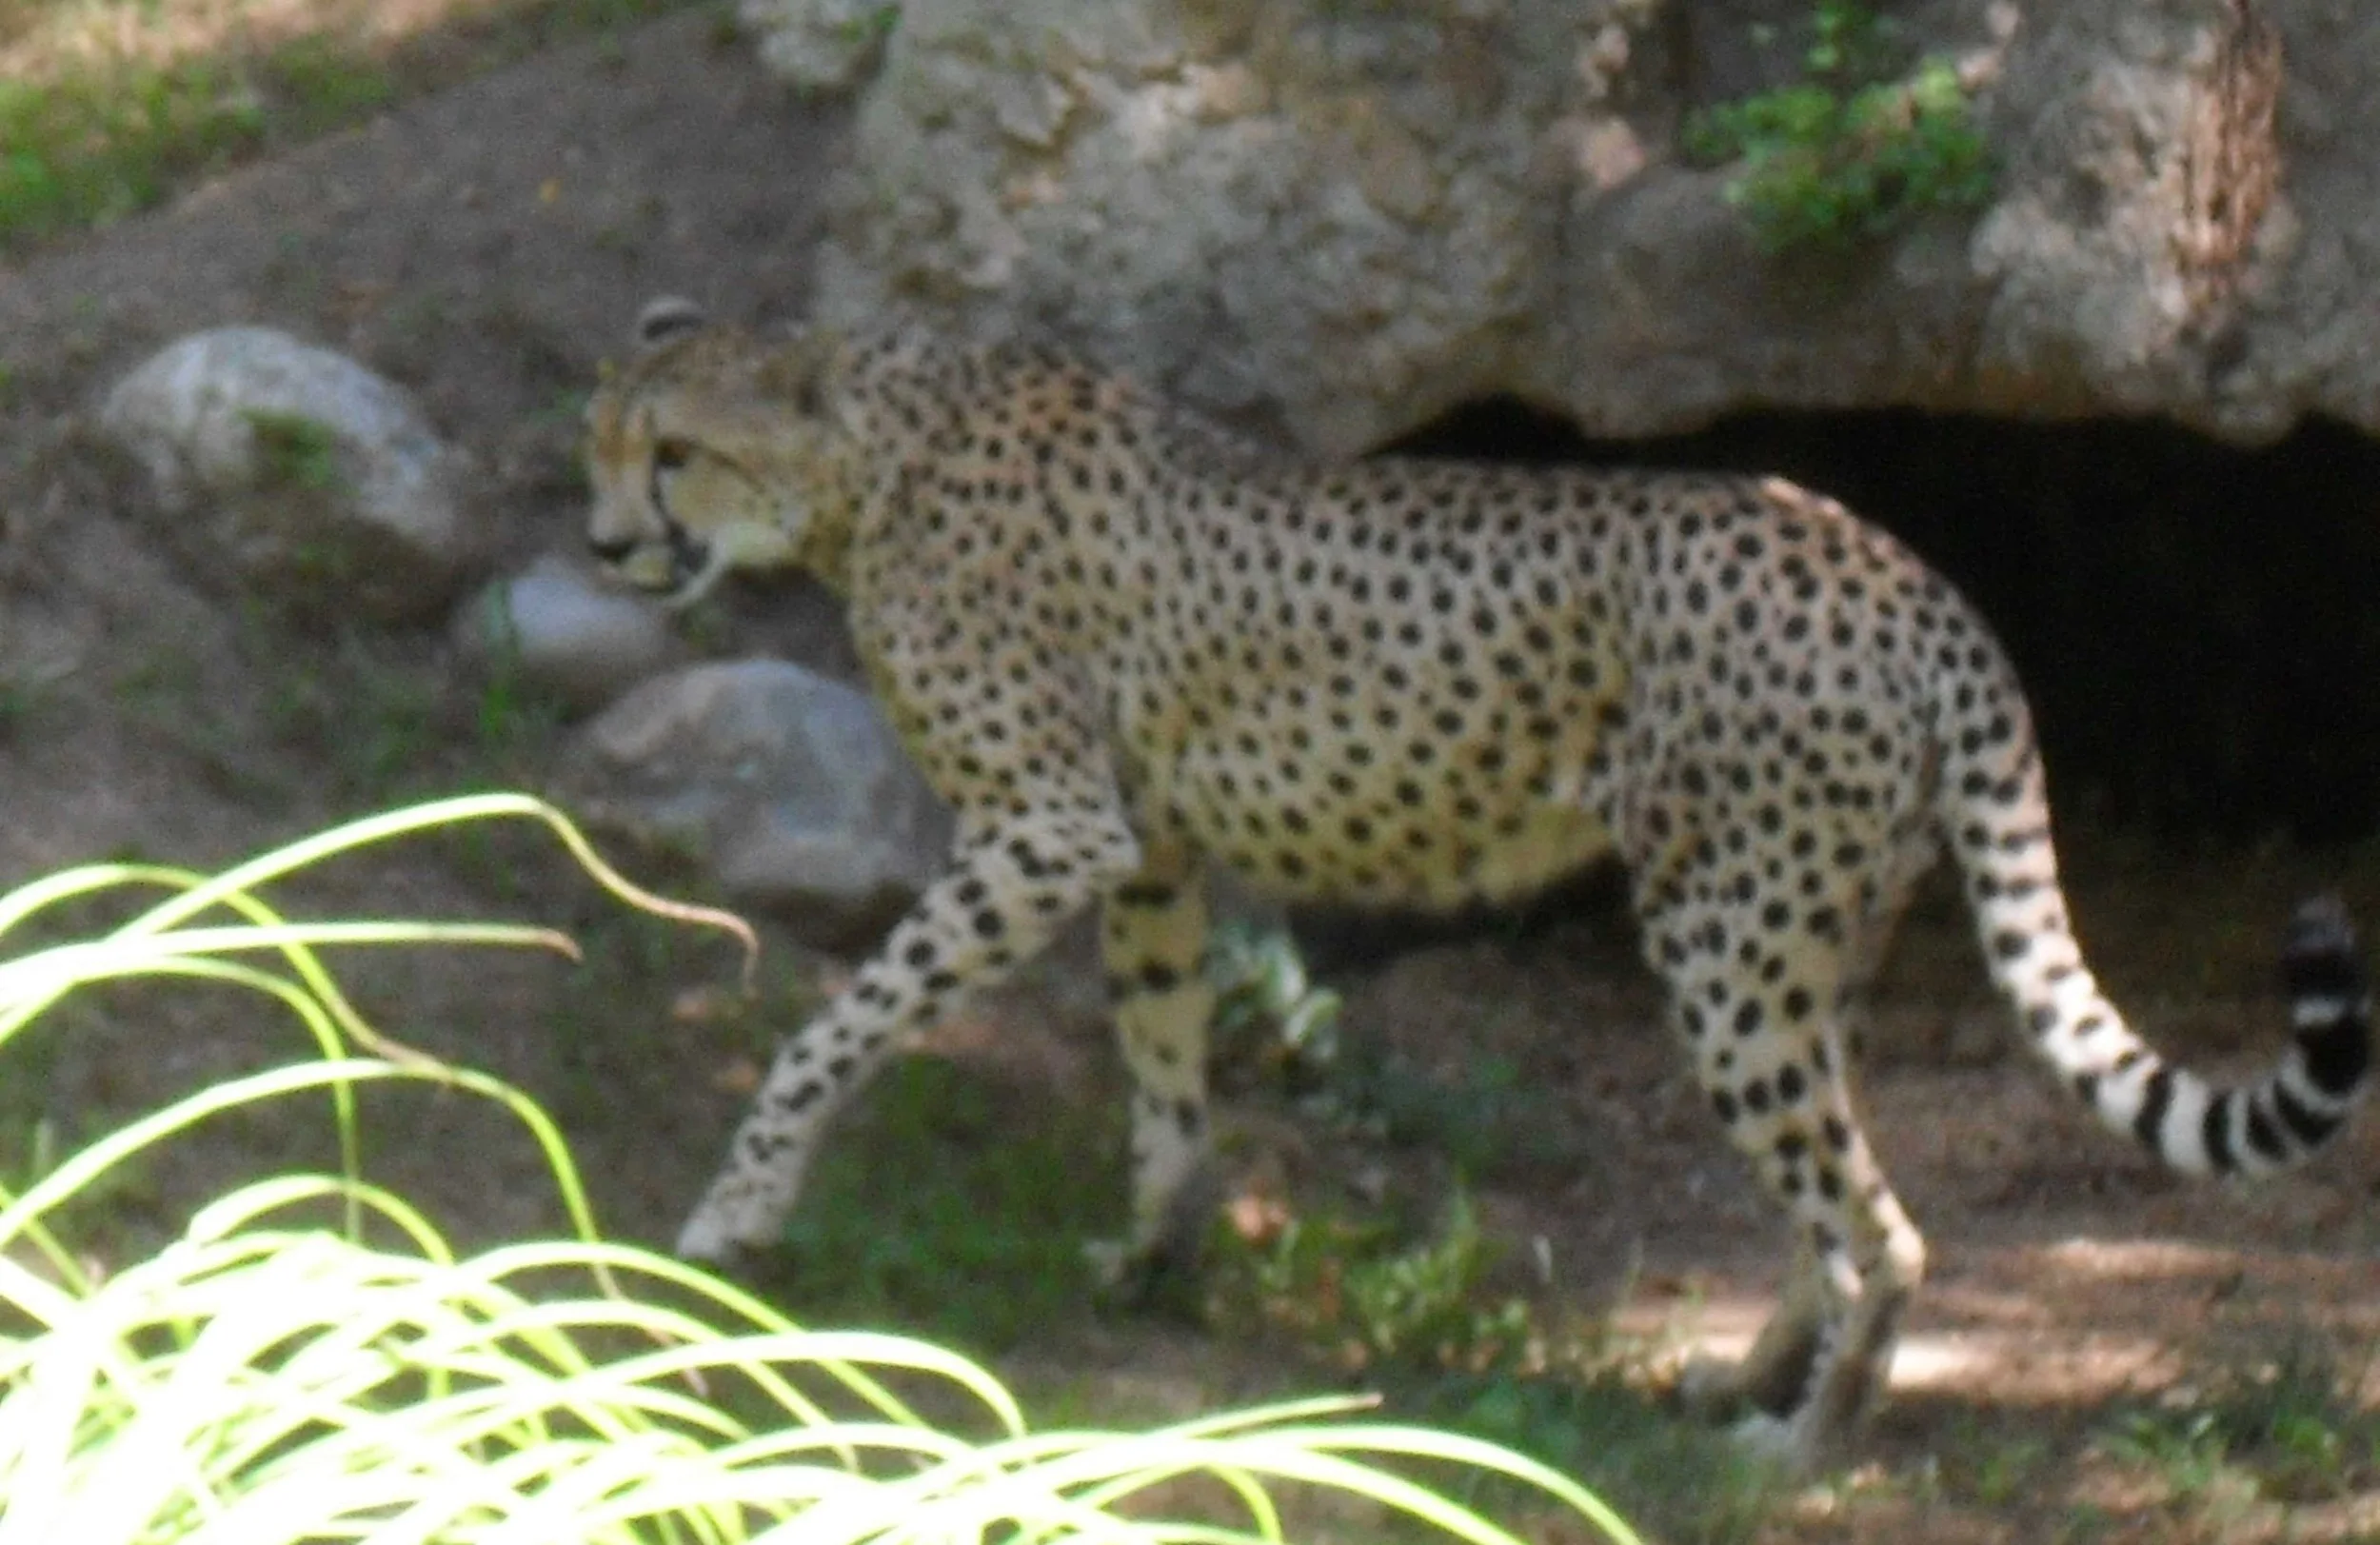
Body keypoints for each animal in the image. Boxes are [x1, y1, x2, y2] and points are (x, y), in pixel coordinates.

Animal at [582, 295, 2372, 1472]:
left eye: (676, 452)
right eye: (601, 444)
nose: (603, 546)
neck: (873, 452)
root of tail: (1909, 573)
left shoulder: (1046, 827)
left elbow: (833, 1026)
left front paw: (730, 1216)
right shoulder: (1143, 848)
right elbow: (1164, 1069)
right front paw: (1151, 1254)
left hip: (1729, 949)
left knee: (1889, 1225)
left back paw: (1802, 1448)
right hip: (1810, 946)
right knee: (1832, 1188)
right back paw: (1745, 1381)